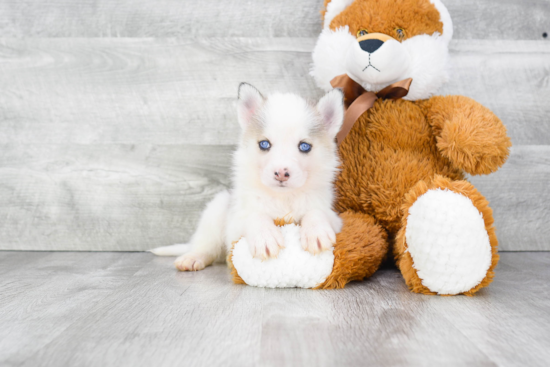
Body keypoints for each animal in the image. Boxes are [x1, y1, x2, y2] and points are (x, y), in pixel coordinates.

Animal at [155, 85, 344, 272]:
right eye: (264, 144)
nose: (281, 173)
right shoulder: (236, 223)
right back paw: (193, 257)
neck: (282, 198)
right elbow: (255, 215)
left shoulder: (335, 218)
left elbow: (316, 211)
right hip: (216, 210)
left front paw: (316, 232)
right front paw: (265, 237)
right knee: (206, 246)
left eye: (304, 146)